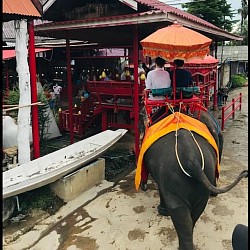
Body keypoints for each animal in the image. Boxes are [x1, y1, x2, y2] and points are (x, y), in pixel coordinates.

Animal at [139, 109, 248, 250]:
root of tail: (191, 158)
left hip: (172, 178)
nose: (143, 186)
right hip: (206, 171)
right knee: (195, 212)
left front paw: (162, 211)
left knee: (180, 213)